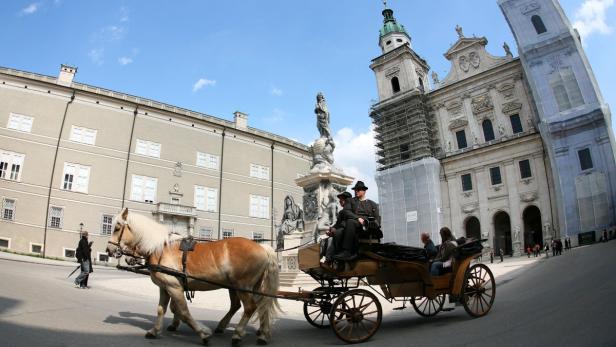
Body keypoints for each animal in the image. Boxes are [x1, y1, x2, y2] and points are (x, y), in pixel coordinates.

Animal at [106, 208, 280, 346]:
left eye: (117, 228)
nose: (109, 250)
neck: (162, 248)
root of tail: (262, 247)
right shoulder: (165, 287)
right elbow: (162, 309)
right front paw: (155, 330)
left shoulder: (174, 287)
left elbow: (183, 311)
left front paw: (203, 333)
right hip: (247, 287)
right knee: (257, 306)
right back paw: (261, 333)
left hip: (242, 286)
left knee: (250, 307)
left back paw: (238, 334)